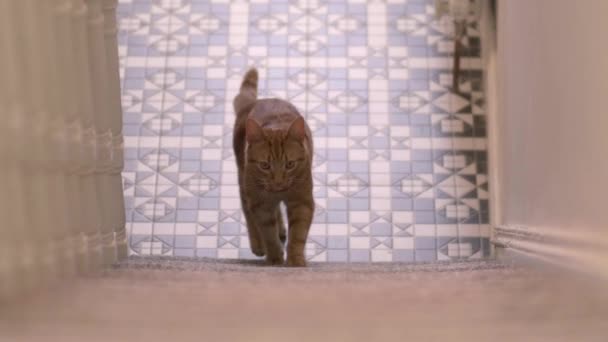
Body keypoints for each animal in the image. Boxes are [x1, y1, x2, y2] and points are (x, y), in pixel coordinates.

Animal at [233, 68, 316, 268]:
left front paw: (295, 260)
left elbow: (298, 234)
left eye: (290, 164)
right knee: (248, 211)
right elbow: (268, 234)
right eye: (265, 165)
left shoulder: (301, 201)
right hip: (244, 180)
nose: (278, 182)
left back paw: (281, 229)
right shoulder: (260, 204)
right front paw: (275, 259)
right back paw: (257, 244)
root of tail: (254, 102)